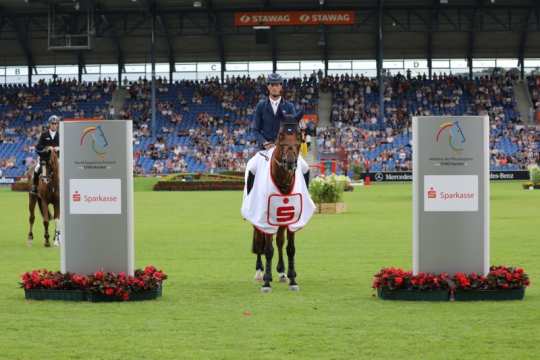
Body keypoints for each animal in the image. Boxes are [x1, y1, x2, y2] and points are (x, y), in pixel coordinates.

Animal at [251, 124, 302, 292]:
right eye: (281, 142)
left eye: (298, 142)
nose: (290, 163)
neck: (283, 183)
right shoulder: (265, 219)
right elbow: (267, 249)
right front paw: (266, 281)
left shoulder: (291, 219)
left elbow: (290, 248)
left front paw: (292, 279)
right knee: (259, 240)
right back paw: (259, 271)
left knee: (279, 241)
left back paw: (281, 272)